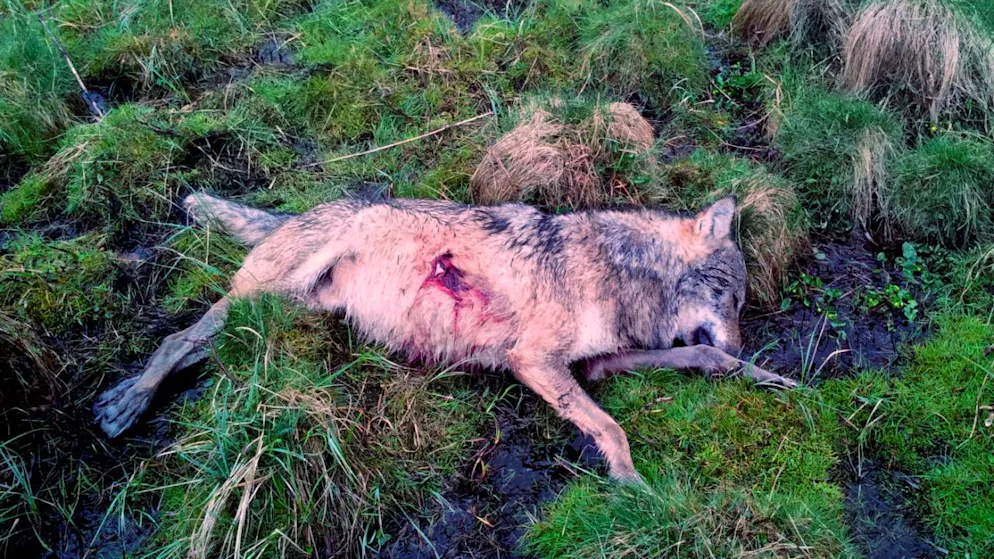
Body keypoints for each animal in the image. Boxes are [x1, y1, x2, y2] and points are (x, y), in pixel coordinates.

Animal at [94, 193, 795, 480]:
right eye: (733, 299)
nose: (741, 342)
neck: (623, 271)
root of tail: (301, 210)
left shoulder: (594, 365)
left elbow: (697, 354)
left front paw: (768, 376)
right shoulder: (531, 360)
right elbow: (614, 428)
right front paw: (633, 487)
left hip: (286, 310)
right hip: (261, 299)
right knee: (180, 340)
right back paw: (127, 401)